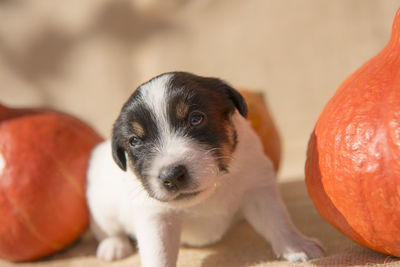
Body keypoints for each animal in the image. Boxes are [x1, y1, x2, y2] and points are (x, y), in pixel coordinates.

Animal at [86, 72, 324, 266]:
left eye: (196, 119)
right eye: (134, 141)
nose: (172, 175)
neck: (211, 190)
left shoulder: (258, 189)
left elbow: (277, 220)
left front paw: (297, 245)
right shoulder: (156, 216)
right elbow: (158, 252)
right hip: (102, 207)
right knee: (104, 229)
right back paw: (114, 246)